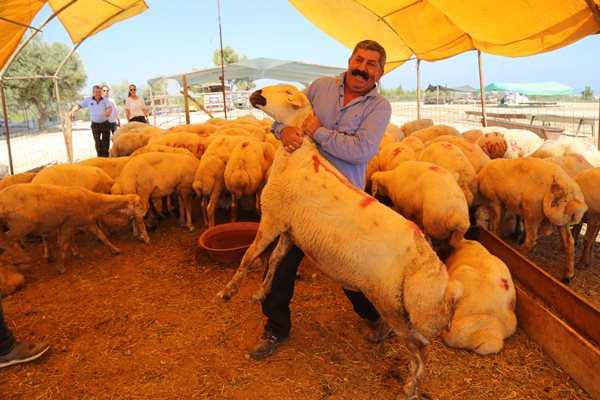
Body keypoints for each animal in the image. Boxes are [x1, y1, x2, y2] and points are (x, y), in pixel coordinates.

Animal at [0, 184, 143, 272]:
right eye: (137, 204)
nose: (144, 214)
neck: (92, 201)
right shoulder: (72, 224)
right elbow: (65, 244)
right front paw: (61, 267)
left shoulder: (78, 223)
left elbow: (69, 242)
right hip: (22, 223)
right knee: (6, 240)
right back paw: (24, 259)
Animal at [217, 85, 464, 400]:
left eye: (286, 91)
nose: (255, 93)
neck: (296, 157)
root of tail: (426, 259)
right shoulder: (289, 229)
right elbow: (274, 261)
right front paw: (262, 293)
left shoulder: (272, 217)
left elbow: (249, 256)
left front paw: (227, 292)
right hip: (390, 299)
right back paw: (377, 335)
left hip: (390, 300)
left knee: (421, 347)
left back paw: (410, 387)